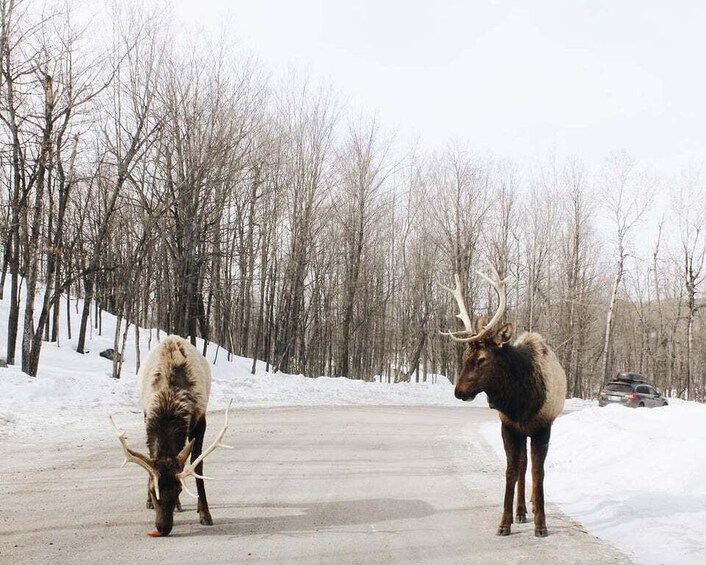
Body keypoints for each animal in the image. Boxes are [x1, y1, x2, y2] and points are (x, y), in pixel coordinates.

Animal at [108, 338, 232, 536]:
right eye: (153, 491)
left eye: (179, 489)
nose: (163, 528)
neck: (169, 403)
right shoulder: (147, 416)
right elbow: (150, 458)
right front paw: (149, 500)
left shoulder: (200, 419)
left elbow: (197, 464)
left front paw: (205, 514)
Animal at [440, 262, 568, 536]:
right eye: (465, 355)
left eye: (482, 359)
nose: (459, 391)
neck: (521, 403)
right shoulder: (508, 426)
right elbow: (511, 471)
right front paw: (505, 522)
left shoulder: (543, 426)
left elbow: (539, 474)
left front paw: (541, 524)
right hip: (520, 432)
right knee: (521, 465)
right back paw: (521, 511)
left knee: (529, 468)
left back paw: (531, 505)